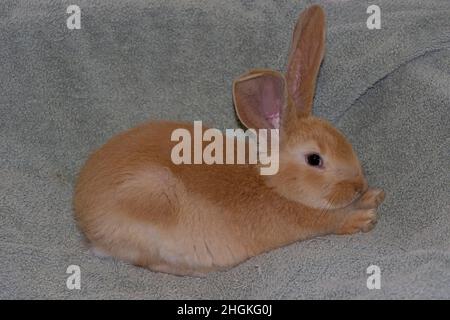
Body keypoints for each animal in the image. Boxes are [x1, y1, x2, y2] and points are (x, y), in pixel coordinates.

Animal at [73, 4, 384, 276]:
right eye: (314, 159)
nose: (358, 186)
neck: (273, 185)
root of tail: (84, 215)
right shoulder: (311, 219)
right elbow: (333, 220)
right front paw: (364, 217)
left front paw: (373, 196)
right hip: (151, 202)